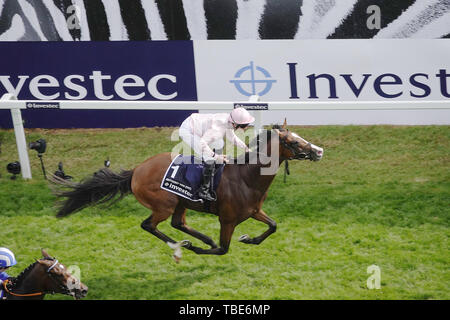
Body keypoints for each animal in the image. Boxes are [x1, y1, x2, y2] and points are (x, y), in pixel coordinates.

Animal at [53, 122, 324, 260]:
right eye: (293, 141)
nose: (318, 151)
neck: (247, 177)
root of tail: (136, 170)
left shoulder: (254, 210)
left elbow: (273, 226)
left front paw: (249, 239)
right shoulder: (227, 220)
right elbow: (223, 250)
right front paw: (195, 248)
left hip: (180, 203)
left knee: (178, 223)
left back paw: (198, 239)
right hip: (164, 204)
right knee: (149, 225)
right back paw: (179, 247)